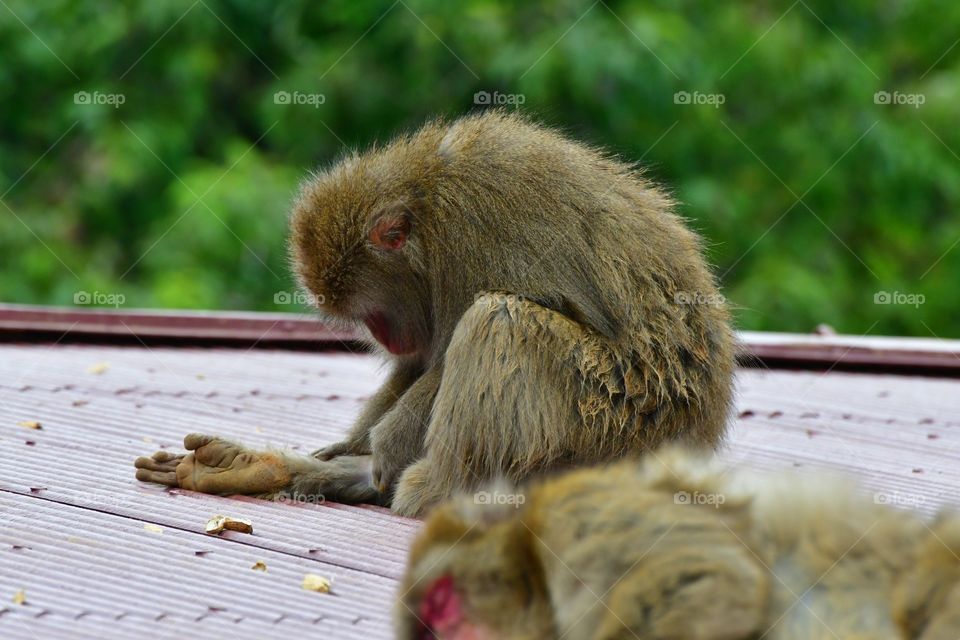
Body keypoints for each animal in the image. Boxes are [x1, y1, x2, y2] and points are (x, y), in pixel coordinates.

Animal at [133, 112, 736, 516]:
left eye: (371, 311)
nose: (384, 336)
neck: (426, 196)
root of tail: (693, 444)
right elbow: (421, 363)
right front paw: (351, 451)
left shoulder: (475, 235)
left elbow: (446, 354)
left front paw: (381, 450)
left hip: (613, 424)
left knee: (500, 321)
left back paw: (435, 490)